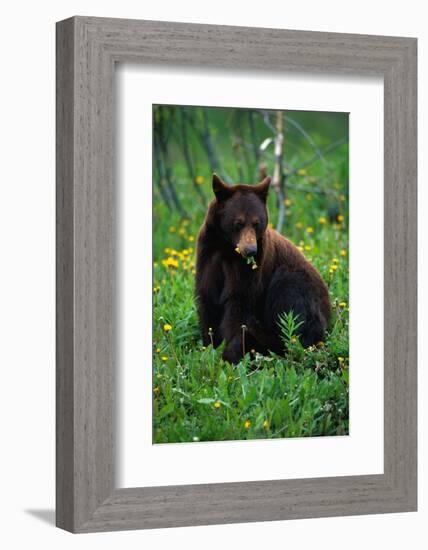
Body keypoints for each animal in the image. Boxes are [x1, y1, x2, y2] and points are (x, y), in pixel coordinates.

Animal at [194, 175, 332, 364]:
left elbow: (239, 304)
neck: (227, 249)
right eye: (238, 223)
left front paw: (230, 353)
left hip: (295, 282)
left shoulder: (251, 268)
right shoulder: (208, 254)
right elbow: (208, 300)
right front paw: (210, 347)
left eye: (257, 223)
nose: (251, 250)